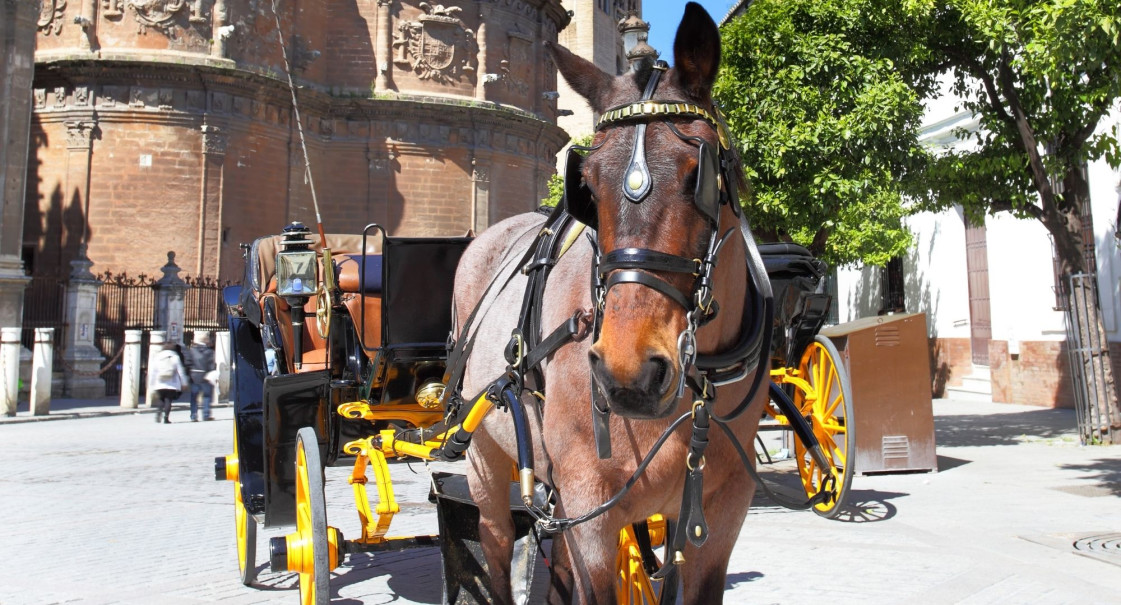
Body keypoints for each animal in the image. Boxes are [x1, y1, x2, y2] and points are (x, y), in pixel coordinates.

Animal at [450, 3, 766, 600]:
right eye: (588, 187)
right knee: (497, 545)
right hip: (485, 458)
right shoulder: (589, 509)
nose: (629, 370)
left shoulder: (718, 515)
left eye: (702, 176)